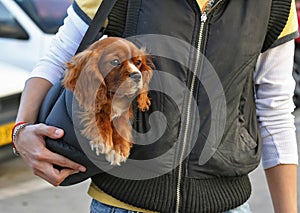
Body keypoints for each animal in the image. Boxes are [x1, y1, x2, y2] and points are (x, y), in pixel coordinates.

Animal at [62, 37, 154, 166]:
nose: (137, 75)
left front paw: (119, 148)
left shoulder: (124, 110)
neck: (114, 96)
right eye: (115, 62)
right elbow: (100, 114)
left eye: (138, 62)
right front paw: (103, 139)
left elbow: (121, 120)